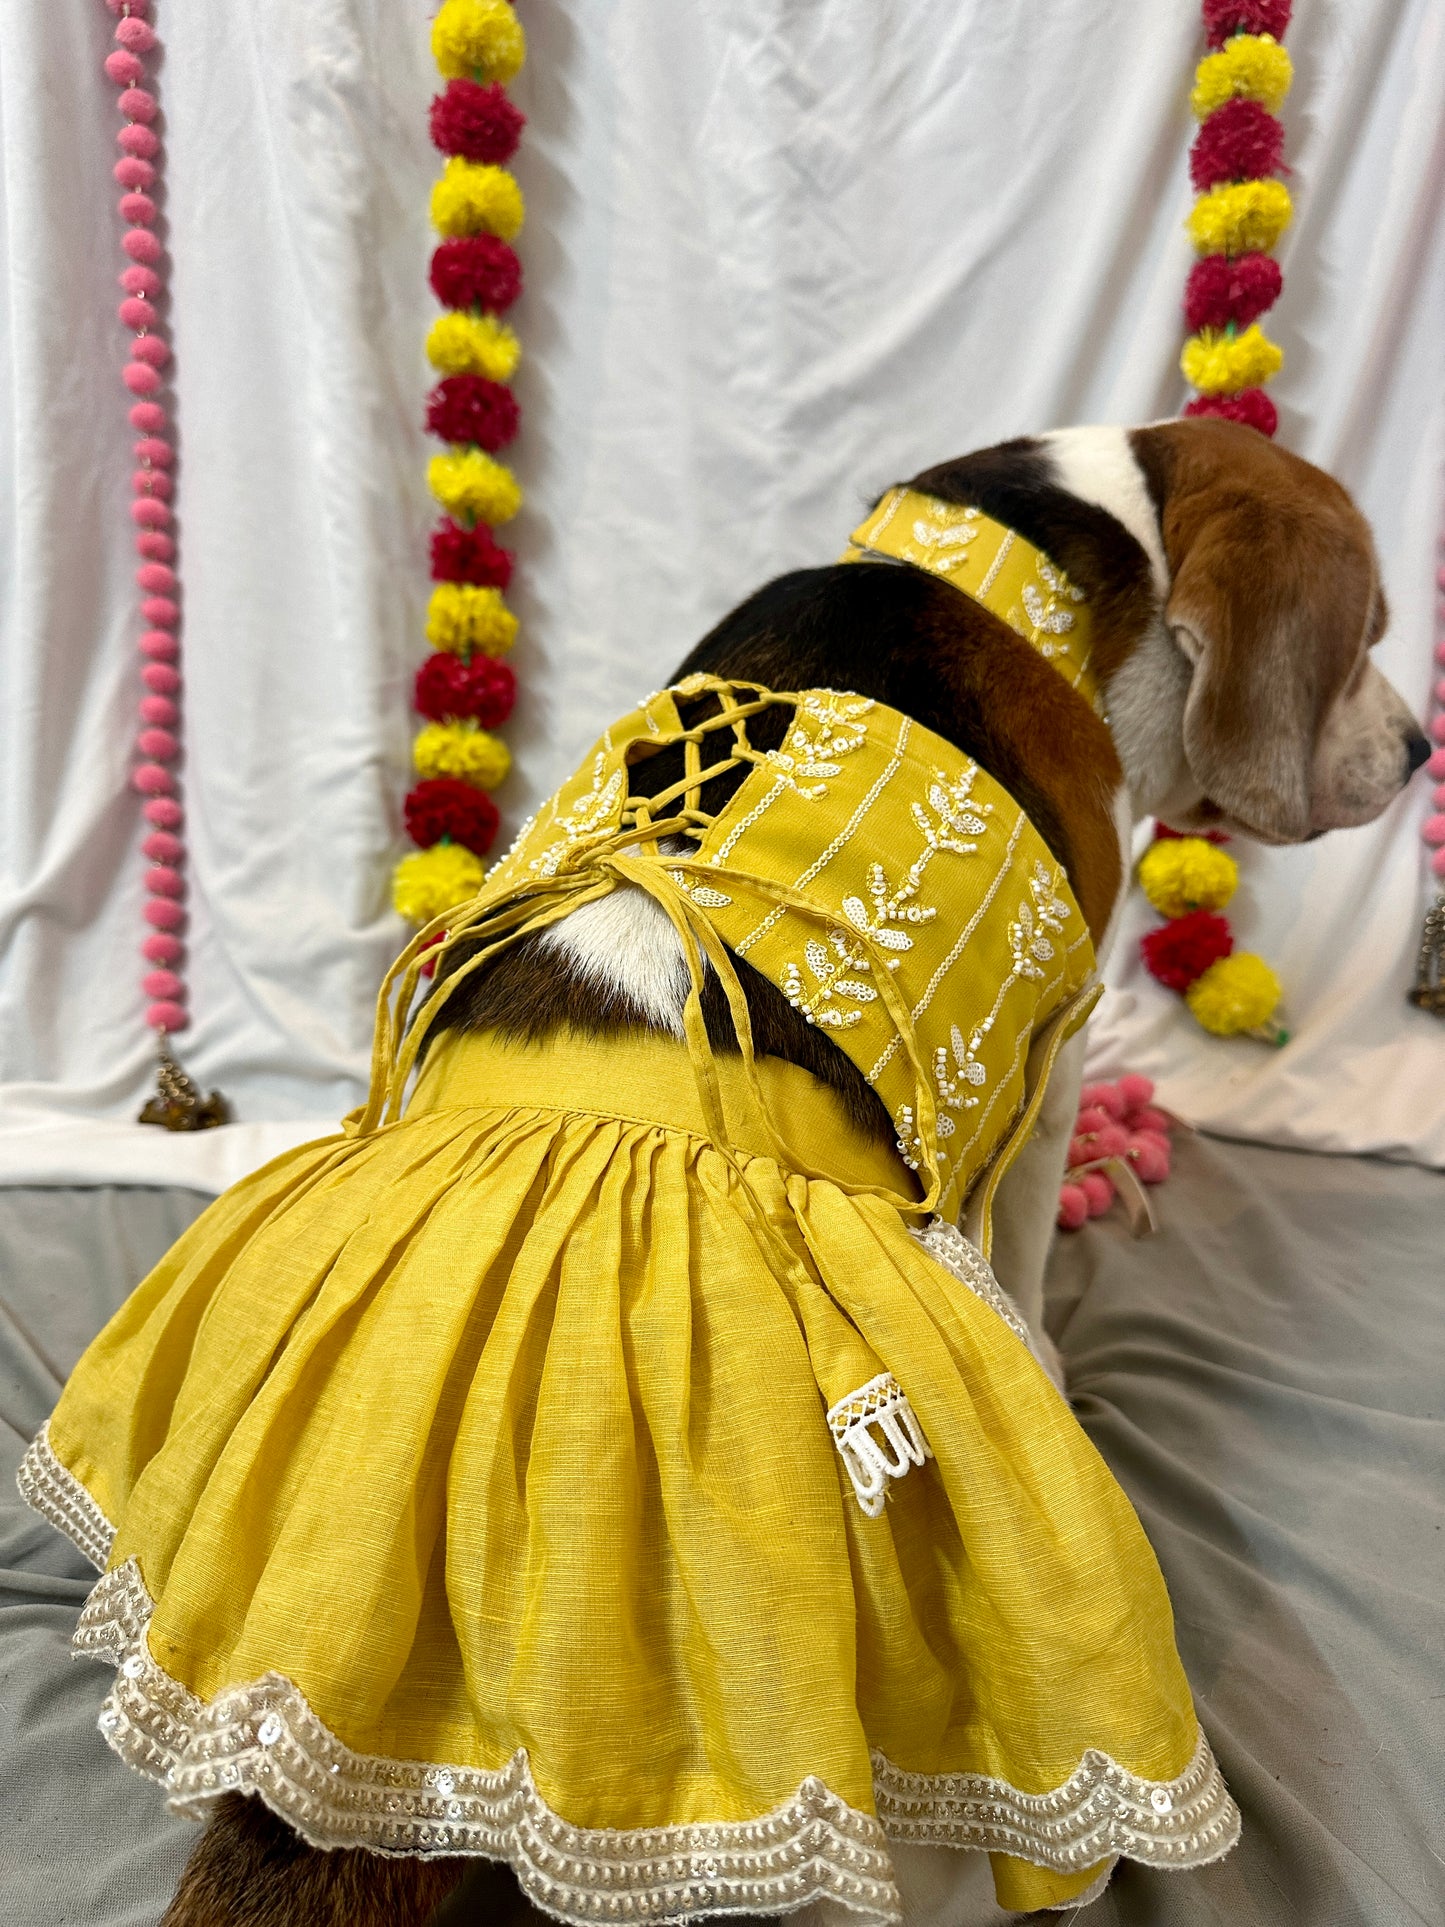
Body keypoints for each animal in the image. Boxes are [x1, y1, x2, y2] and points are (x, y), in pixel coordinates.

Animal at [160, 422, 1425, 1927]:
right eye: (1369, 634)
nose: (1422, 747)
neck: (1027, 574)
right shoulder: (1053, 1045)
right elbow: (1027, 1240)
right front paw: (1057, 1352)